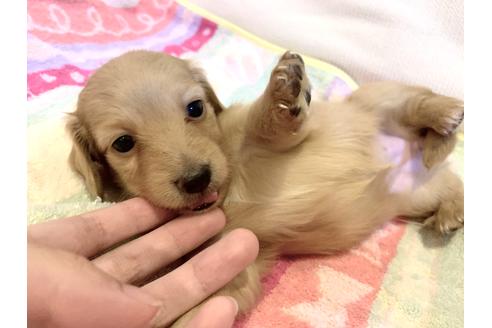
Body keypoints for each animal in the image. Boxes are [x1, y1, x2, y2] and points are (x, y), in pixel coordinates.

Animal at [67, 50, 464, 326]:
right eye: (123, 143)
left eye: (195, 108)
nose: (197, 179)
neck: (229, 191)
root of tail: (414, 153)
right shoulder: (235, 266)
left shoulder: (266, 138)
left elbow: (269, 122)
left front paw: (285, 90)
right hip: (416, 193)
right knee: (453, 184)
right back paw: (449, 213)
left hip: (377, 98)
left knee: (417, 102)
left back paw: (445, 114)